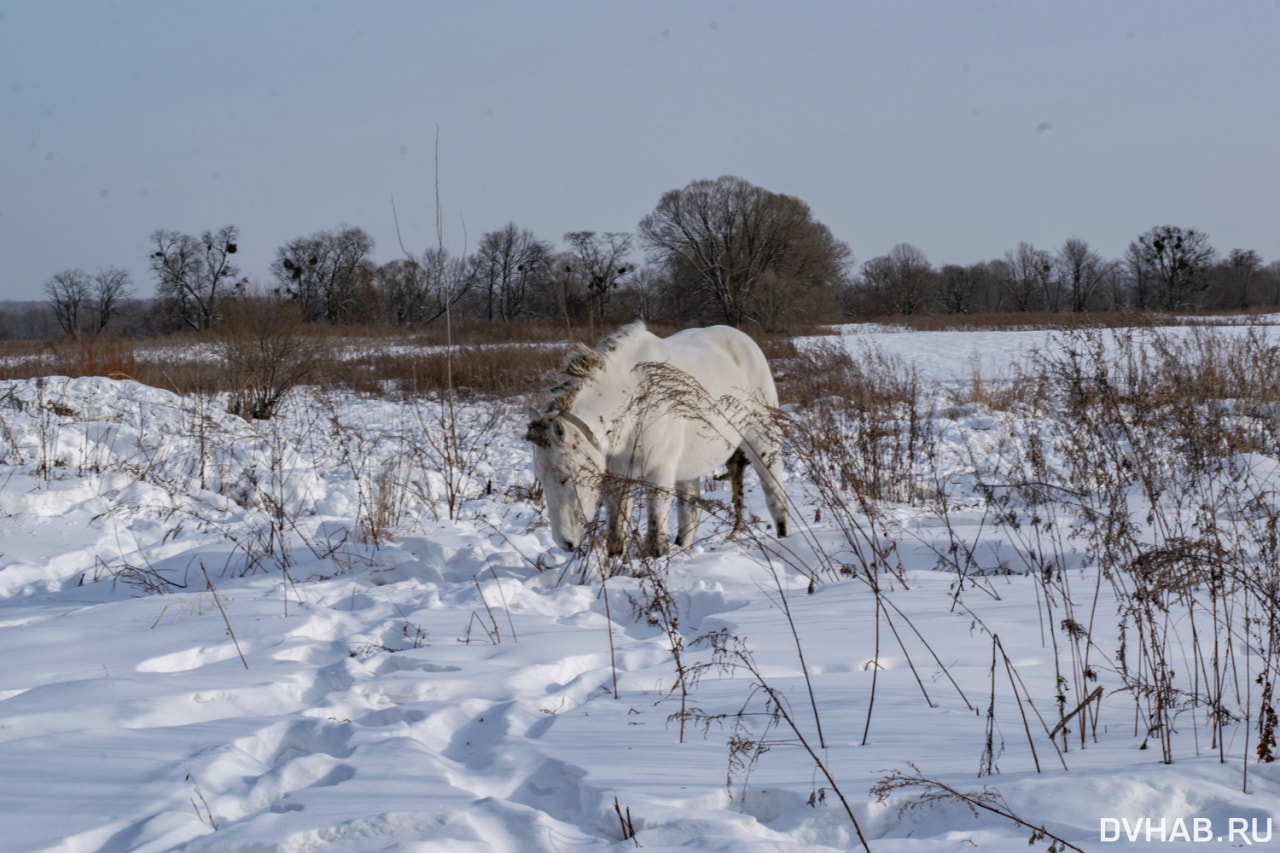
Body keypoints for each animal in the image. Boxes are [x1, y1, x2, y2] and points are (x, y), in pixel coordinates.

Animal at [524, 322, 783, 555]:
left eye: (565, 478)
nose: (565, 543)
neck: (635, 399)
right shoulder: (617, 477)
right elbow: (616, 535)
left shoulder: (659, 473)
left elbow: (655, 538)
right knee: (691, 513)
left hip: (763, 441)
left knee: (775, 495)